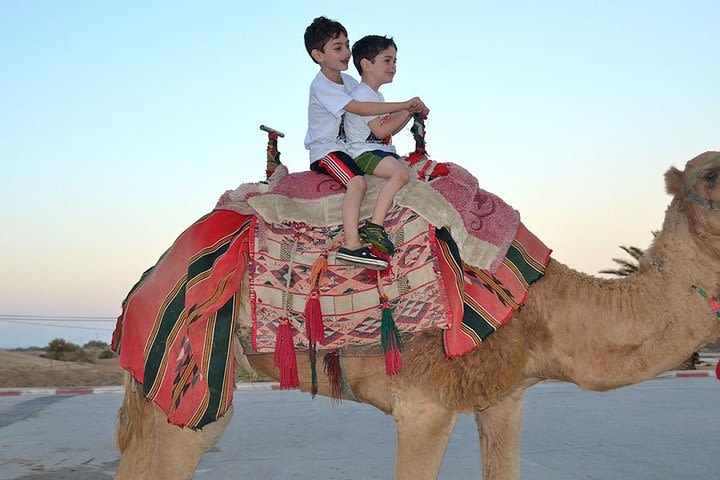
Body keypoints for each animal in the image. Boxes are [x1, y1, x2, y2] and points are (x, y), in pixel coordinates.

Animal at [112, 151, 720, 480]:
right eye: (711, 174)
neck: (540, 309)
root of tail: (149, 276)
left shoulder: (504, 396)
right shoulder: (426, 400)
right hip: (191, 369)